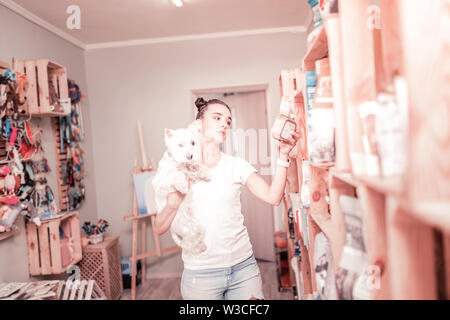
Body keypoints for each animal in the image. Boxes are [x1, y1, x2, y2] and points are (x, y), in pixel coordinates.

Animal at [151, 119, 211, 255]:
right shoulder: (161, 182)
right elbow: (175, 175)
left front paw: (205, 173)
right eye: (180, 145)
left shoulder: (191, 174)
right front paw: (182, 186)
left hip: (196, 225)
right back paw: (200, 248)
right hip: (186, 228)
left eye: (193, 143)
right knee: (188, 243)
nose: (190, 156)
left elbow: (195, 168)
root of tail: (172, 230)